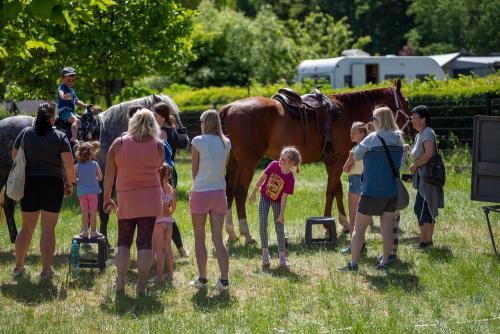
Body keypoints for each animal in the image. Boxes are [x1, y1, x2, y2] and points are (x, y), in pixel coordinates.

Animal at [221, 81, 412, 243]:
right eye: (407, 102)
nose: (409, 130)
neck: (345, 111)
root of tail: (229, 107)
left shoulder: (333, 161)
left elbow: (337, 190)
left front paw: (344, 223)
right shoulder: (337, 161)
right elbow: (331, 191)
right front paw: (327, 226)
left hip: (234, 162)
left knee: (229, 190)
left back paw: (231, 232)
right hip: (248, 162)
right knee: (240, 192)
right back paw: (246, 233)